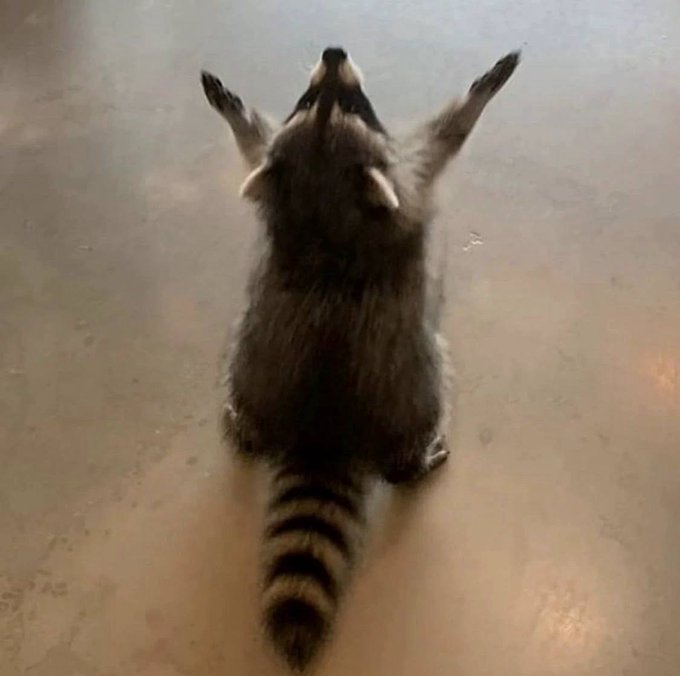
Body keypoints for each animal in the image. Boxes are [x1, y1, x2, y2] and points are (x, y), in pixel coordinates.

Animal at [201, 47, 519, 671]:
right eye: (312, 100)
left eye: (346, 103)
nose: (333, 52)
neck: (323, 217)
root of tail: (326, 427)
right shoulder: (409, 177)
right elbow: (447, 135)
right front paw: (481, 92)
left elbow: (256, 149)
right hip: (418, 379)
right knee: (426, 407)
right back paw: (415, 462)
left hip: (250, 358)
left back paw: (243, 426)